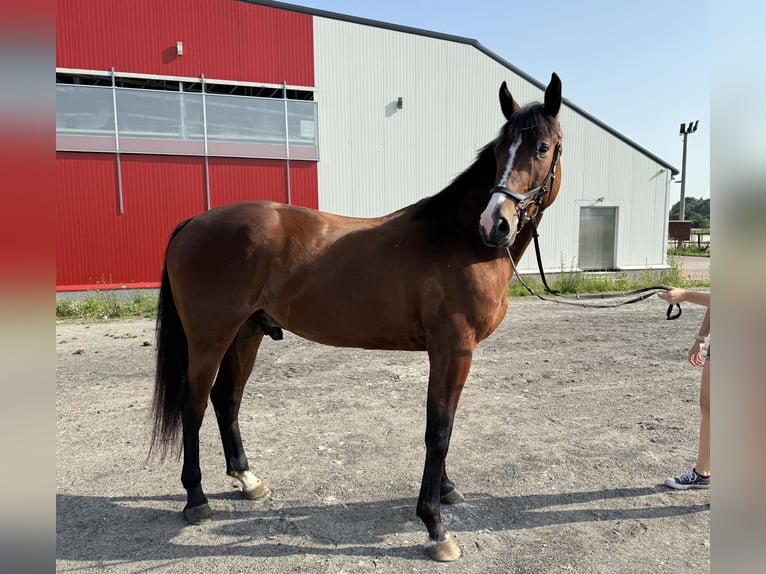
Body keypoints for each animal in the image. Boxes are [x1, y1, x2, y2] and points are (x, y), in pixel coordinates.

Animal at [152, 72, 564, 564]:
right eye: (500, 150)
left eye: (542, 148)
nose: (495, 224)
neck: (459, 240)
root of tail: (194, 222)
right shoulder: (452, 350)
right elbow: (439, 430)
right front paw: (435, 527)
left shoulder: (451, 354)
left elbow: (443, 426)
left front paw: (446, 490)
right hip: (210, 338)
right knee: (193, 404)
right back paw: (195, 499)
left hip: (246, 334)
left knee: (225, 399)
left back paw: (247, 479)